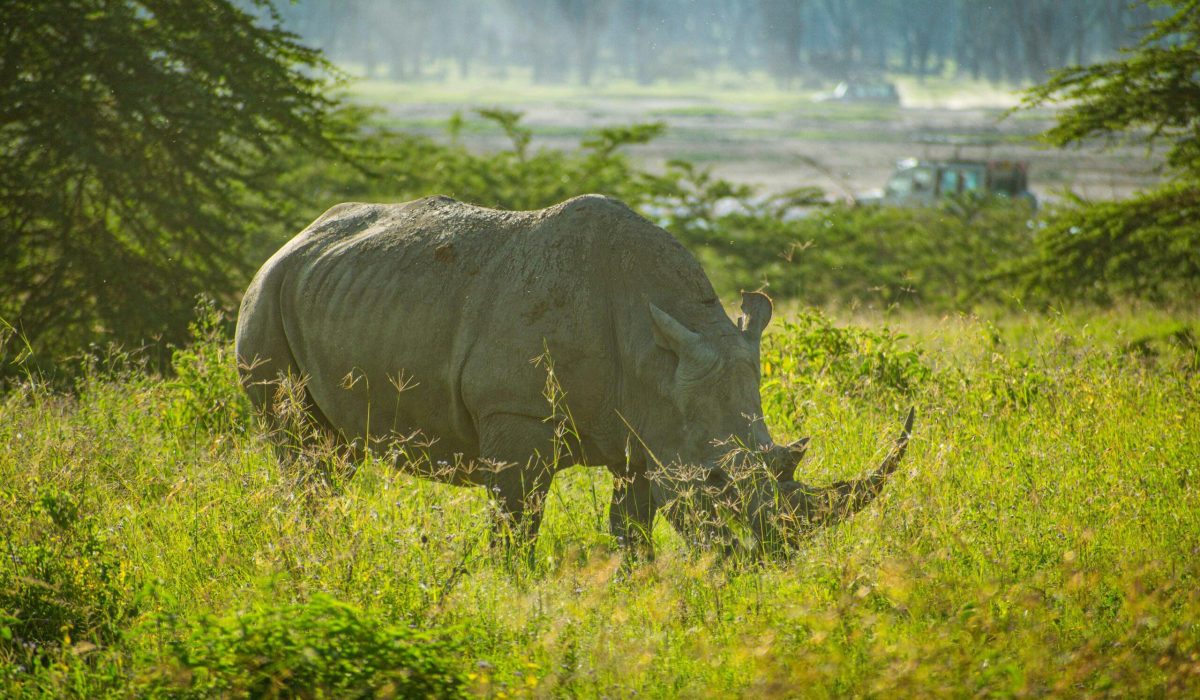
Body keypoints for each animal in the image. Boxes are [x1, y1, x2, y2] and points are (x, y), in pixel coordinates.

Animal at [231, 195, 907, 552]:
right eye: (714, 480)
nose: (766, 559)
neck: (654, 348)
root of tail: (294, 239)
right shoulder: (517, 412)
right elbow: (517, 524)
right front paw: (513, 595)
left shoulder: (646, 432)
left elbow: (631, 529)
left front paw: (638, 591)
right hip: (266, 296)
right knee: (304, 450)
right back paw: (312, 547)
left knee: (333, 452)